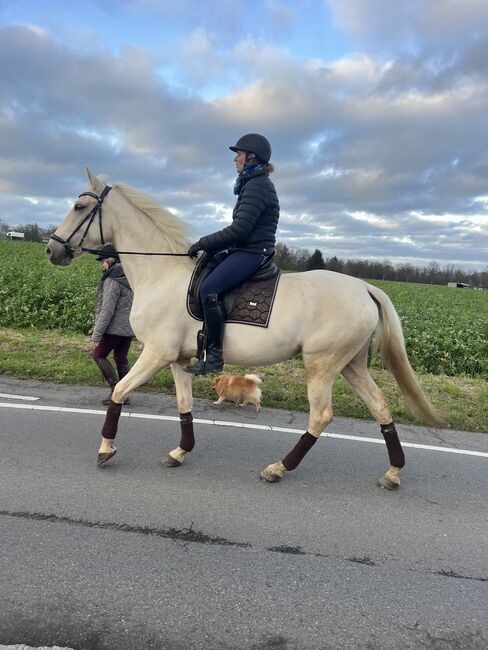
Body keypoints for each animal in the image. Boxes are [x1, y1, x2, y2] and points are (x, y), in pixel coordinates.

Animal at [46, 170, 446, 488]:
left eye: (80, 207)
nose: (52, 250)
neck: (161, 274)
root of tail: (364, 287)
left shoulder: (156, 354)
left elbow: (118, 392)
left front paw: (106, 449)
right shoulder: (178, 360)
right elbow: (184, 405)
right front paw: (179, 452)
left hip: (322, 366)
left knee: (321, 417)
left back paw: (278, 468)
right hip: (351, 364)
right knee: (380, 407)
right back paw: (393, 473)